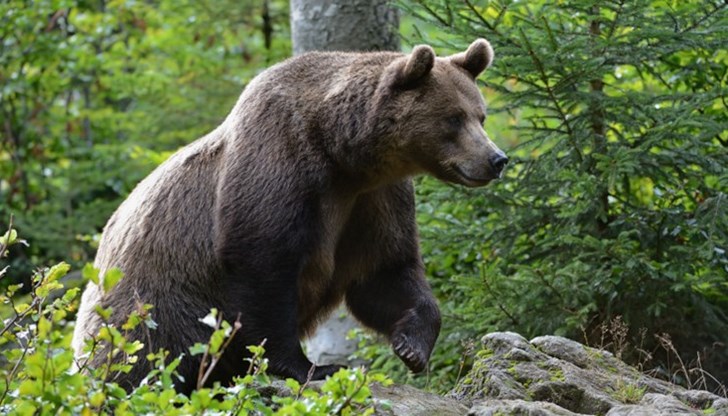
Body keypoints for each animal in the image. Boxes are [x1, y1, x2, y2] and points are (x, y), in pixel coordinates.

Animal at [72, 38, 506, 394]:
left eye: (480, 115)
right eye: (454, 118)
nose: (497, 158)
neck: (344, 155)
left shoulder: (372, 200)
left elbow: (384, 271)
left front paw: (411, 345)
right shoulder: (279, 167)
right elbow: (265, 268)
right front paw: (308, 366)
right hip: (152, 311)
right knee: (140, 363)